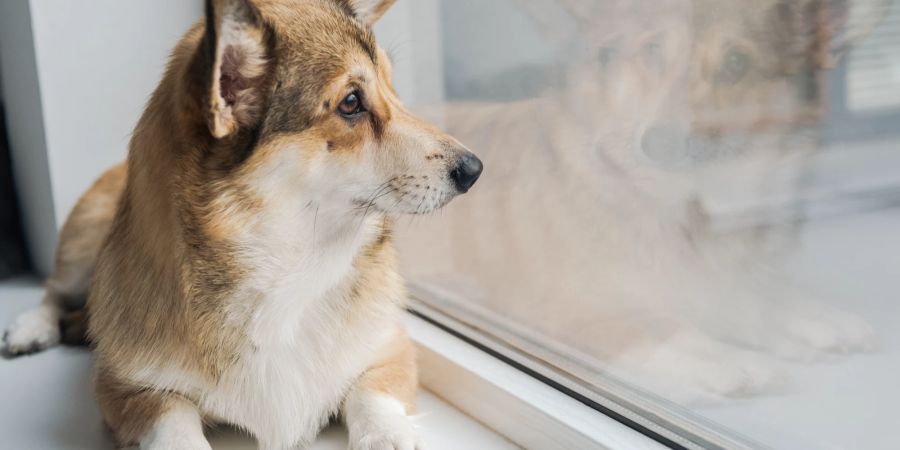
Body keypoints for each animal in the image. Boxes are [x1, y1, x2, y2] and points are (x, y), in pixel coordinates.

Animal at [3, 0, 482, 450]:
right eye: (350, 103)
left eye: (392, 87)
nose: (474, 169)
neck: (291, 269)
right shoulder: (126, 389)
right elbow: (175, 426)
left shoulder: (389, 350)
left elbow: (372, 395)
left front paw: (388, 436)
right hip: (82, 244)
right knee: (53, 291)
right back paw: (31, 330)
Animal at [400, 0, 884, 402]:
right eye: (652, 52)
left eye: (736, 63)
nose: (663, 143)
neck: (681, 209)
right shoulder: (556, 310)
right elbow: (659, 330)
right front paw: (730, 363)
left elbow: (756, 299)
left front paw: (810, 318)